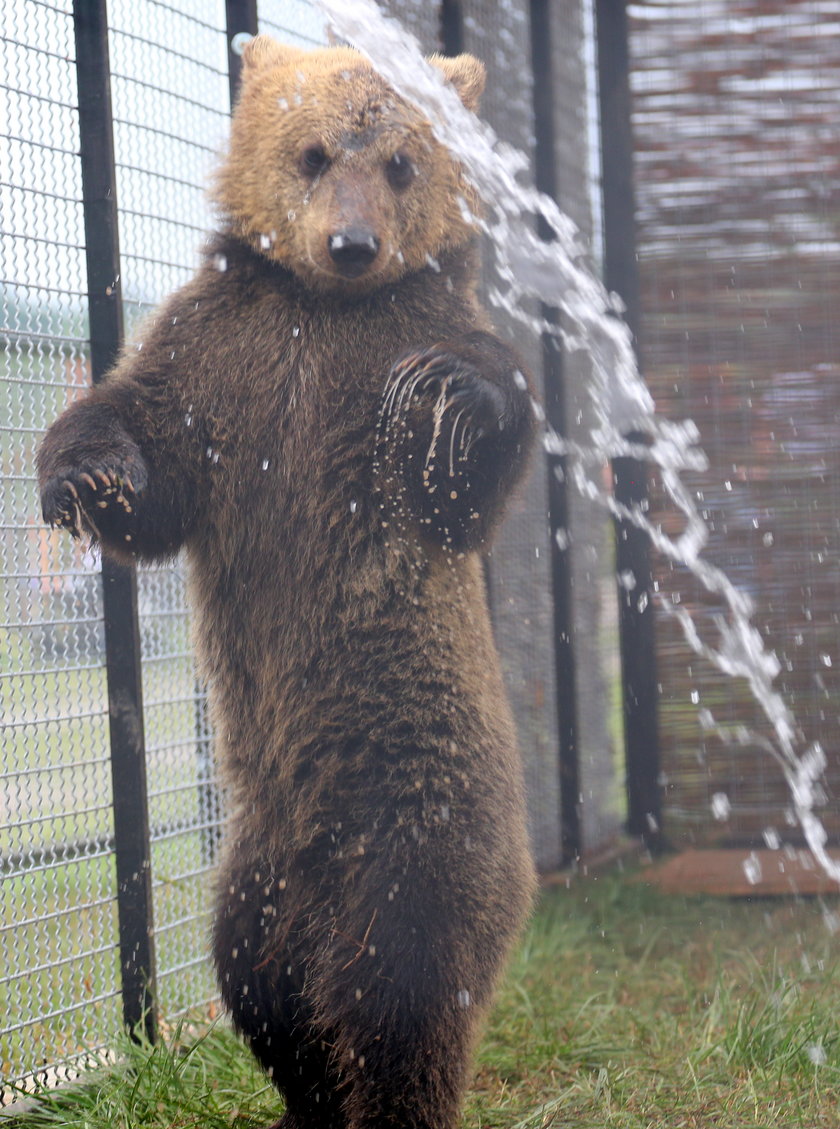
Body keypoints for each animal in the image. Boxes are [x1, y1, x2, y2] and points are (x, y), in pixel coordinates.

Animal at [36, 35, 537, 1129]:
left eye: (400, 161)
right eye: (312, 153)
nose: (352, 245)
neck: (325, 310)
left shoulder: (415, 330)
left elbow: (463, 473)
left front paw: (452, 402)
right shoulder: (222, 354)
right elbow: (145, 444)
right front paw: (84, 476)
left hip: (417, 811)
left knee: (397, 987)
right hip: (255, 866)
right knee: (263, 984)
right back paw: (302, 1096)